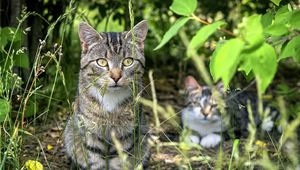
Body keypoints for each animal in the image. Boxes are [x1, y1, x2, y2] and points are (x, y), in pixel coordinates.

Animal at [63, 20, 149, 169]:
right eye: (102, 62)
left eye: (128, 61)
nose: (116, 76)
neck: (111, 98)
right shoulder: (90, 132)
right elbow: (96, 161)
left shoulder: (126, 134)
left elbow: (119, 161)